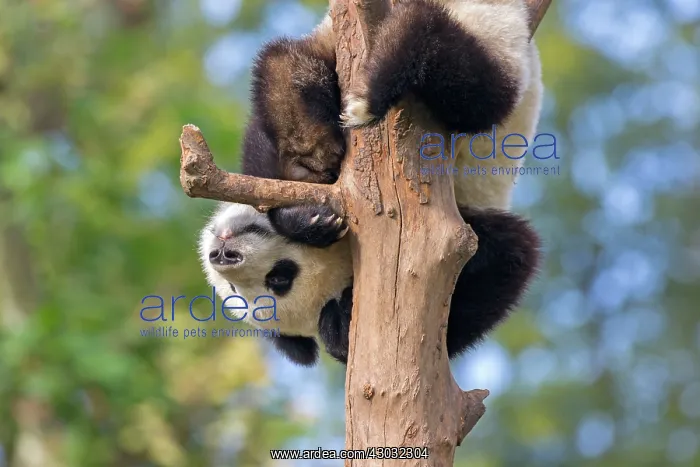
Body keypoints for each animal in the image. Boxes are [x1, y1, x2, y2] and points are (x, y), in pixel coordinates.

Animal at [199, 0, 543, 366]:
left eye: (280, 277)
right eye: (234, 292)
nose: (223, 254)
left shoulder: (459, 229)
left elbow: (511, 256)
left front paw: (306, 218)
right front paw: (338, 324)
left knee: (471, 90)